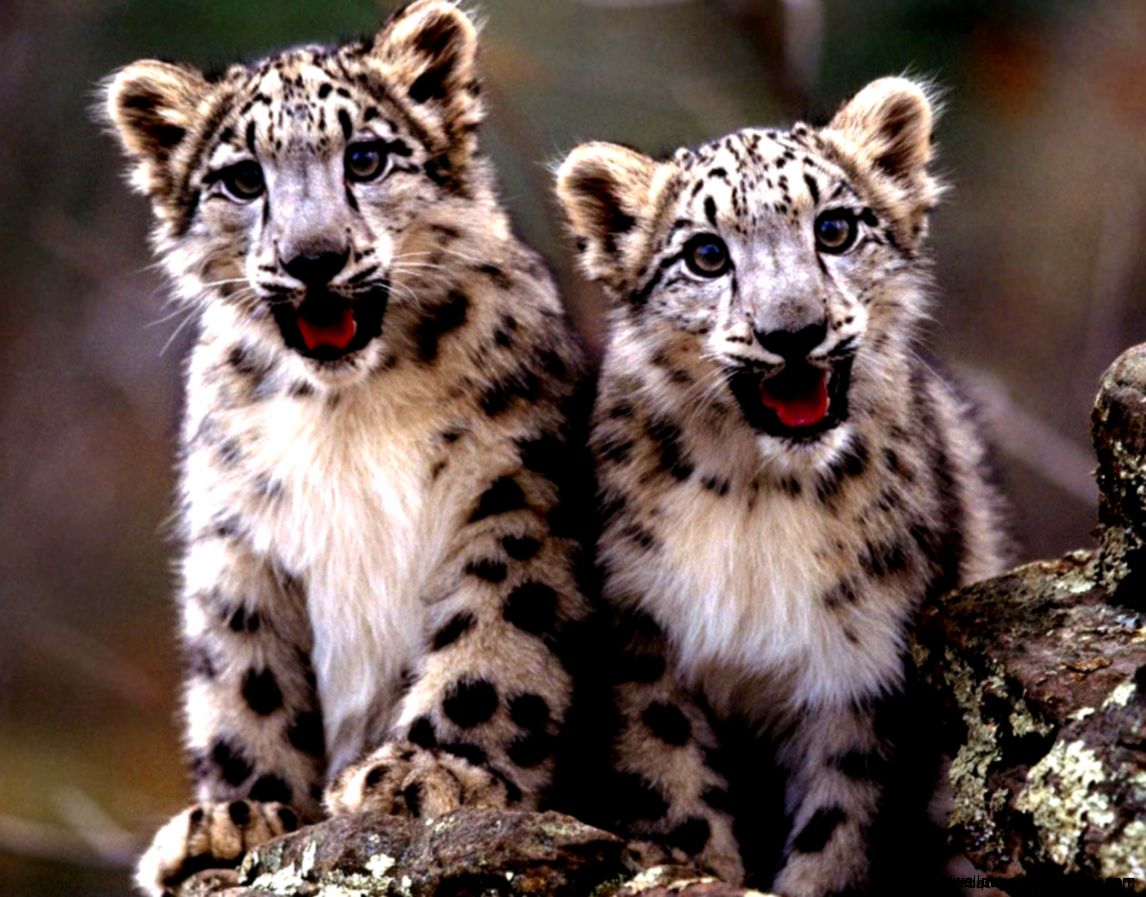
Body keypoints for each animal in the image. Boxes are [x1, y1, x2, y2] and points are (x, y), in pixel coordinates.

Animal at [102, 2, 593, 893]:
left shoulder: (516, 491)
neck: (347, 412)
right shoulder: (237, 536)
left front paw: (431, 771)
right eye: (242, 178)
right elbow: (246, 678)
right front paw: (238, 815)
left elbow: (498, 628)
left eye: (365, 157)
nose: (314, 258)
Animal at [555, 77, 1009, 897]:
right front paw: (699, 867)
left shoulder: (865, 664)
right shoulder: (643, 637)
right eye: (705, 254)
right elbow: (673, 784)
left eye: (834, 228)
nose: (793, 331)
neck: (760, 496)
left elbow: (842, 820)